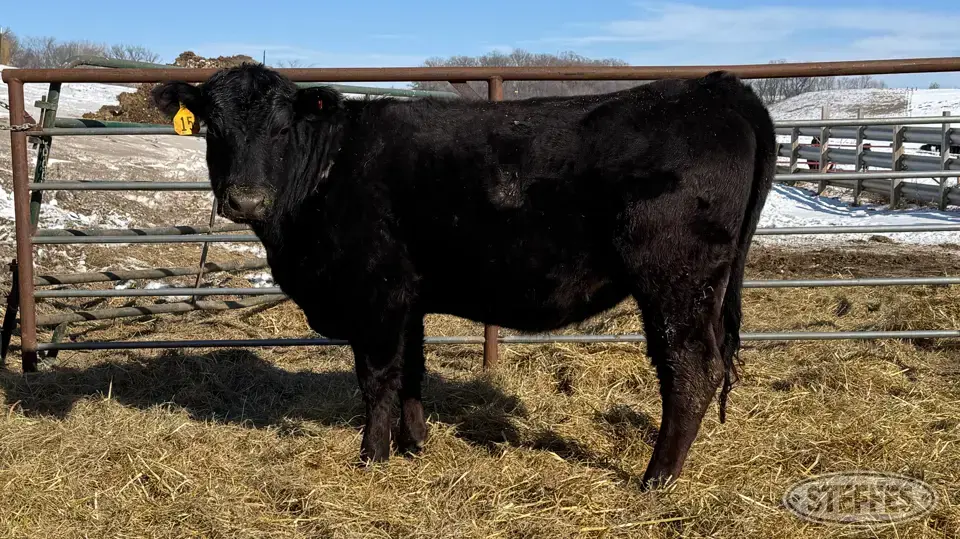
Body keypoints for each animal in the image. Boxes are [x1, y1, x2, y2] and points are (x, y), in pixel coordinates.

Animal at [152, 63, 776, 488]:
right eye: (212, 128)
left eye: (282, 129)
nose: (245, 199)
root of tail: (717, 88)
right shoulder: (409, 299)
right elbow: (412, 374)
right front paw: (415, 445)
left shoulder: (376, 295)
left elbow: (376, 379)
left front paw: (372, 456)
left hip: (675, 282)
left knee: (690, 371)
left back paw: (655, 479)